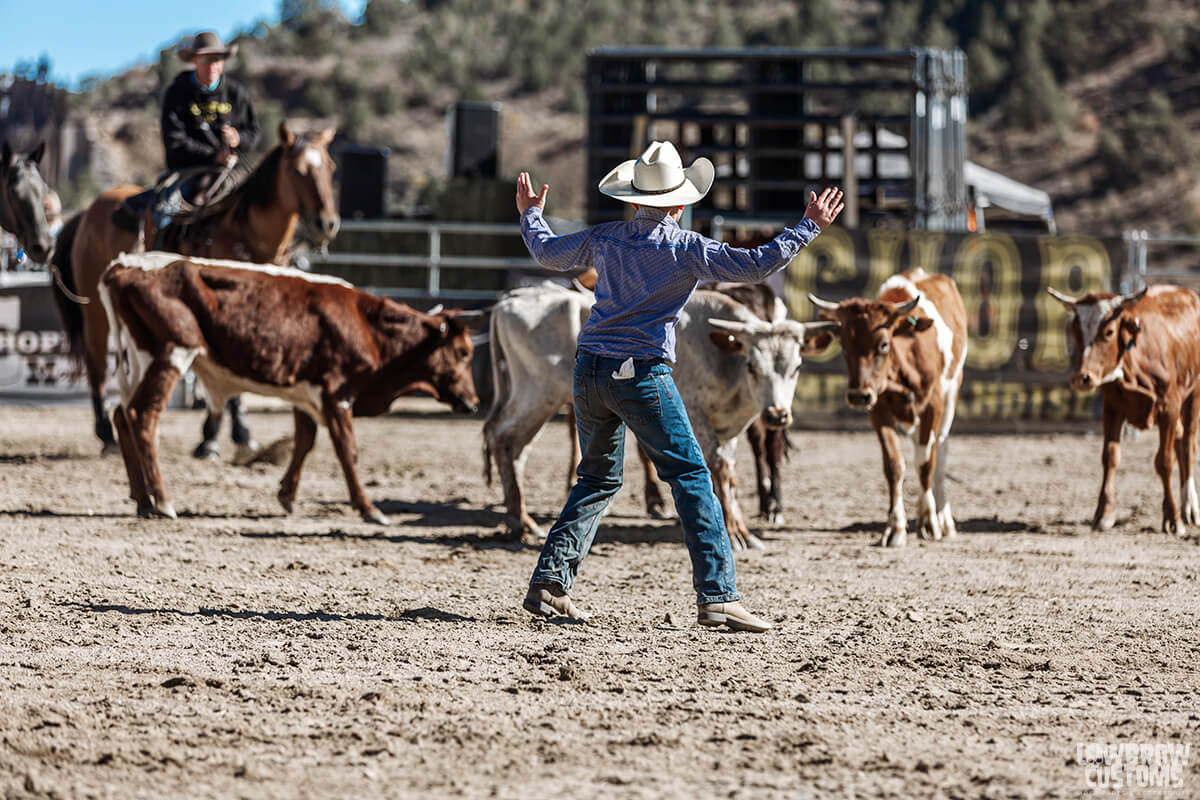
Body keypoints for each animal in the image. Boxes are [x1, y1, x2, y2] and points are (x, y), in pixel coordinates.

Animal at [51, 121, 338, 453]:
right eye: (296, 169)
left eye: (330, 167)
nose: (326, 223)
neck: (241, 232)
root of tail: (86, 212)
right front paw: (212, 437)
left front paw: (239, 433)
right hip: (95, 310)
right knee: (96, 364)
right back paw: (106, 434)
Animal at [98, 253, 480, 522]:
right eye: (463, 352)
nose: (474, 402)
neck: (366, 324)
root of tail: (123, 266)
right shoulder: (336, 393)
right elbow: (347, 450)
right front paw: (369, 508)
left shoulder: (305, 394)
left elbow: (304, 442)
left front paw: (287, 495)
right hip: (172, 352)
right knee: (143, 415)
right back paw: (162, 500)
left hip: (137, 361)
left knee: (122, 415)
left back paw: (143, 500)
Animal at [480, 284, 835, 554]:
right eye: (752, 366)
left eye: (797, 367)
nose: (777, 414)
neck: (721, 354)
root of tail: (512, 299)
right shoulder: (697, 416)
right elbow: (718, 467)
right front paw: (735, 532)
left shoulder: (729, 428)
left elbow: (731, 474)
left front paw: (738, 528)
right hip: (536, 395)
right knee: (501, 435)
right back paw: (518, 521)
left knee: (516, 449)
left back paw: (523, 520)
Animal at [806, 266, 964, 546]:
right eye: (844, 345)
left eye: (883, 344)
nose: (858, 396)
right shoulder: (879, 411)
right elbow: (894, 465)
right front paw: (896, 527)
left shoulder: (933, 406)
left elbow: (926, 463)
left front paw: (929, 520)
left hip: (951, 395)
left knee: (940, 451)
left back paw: (943, 518)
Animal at [1046, 284, 1200, 534]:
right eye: (1075, 332)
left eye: (1109, 332)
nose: (1082, 378)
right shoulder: (1112, 408)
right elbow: (1110, 457)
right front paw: (1104, 514)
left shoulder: (1169, 407)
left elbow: (1164, 461)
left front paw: (1173, 518)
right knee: (1179, 440)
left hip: (1193, 393)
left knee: (1187, 445)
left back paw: (1189, 507)